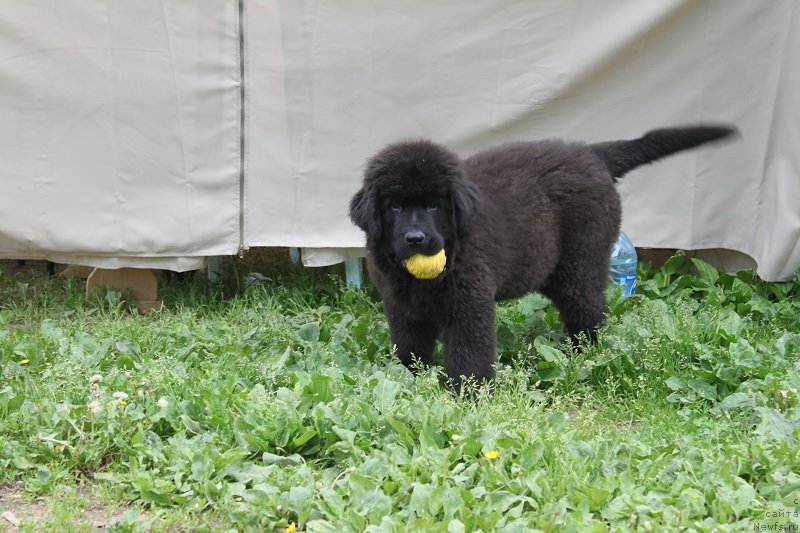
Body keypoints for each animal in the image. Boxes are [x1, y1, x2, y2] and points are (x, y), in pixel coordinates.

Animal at [350, 125, 736, 390]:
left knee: (590, 308)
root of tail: (591, 154)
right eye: (395, 206)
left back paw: (587, 354)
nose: (415, 238)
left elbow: (469, 354)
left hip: (580, 262)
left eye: (433, 205)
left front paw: (470, 394)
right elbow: (409, 347)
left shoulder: (469, 302)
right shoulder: (402, 306)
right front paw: (407, 379)